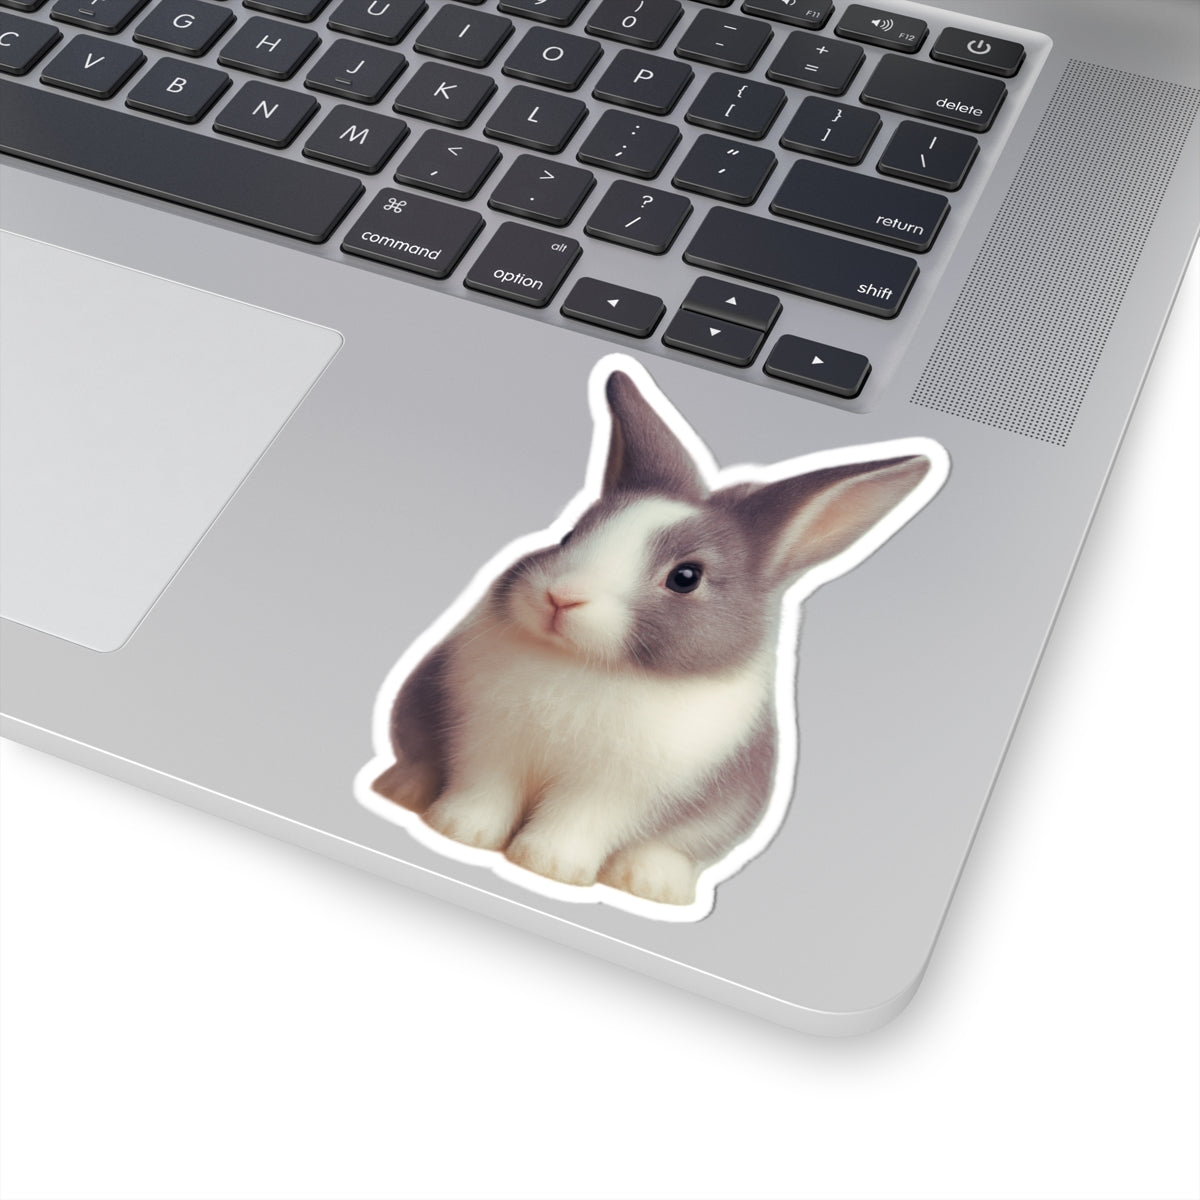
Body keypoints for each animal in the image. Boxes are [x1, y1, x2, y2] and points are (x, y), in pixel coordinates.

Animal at [369, 357, 946, 910]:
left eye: (686, 577)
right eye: (571, 534)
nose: (561, 597)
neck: (585, 665)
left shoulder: (615, 792)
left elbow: (576, 823)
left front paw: (546, 866)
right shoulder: (487, 745)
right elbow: (484, 794)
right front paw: (458, 831)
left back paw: (649, 885)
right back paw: (402, 791)